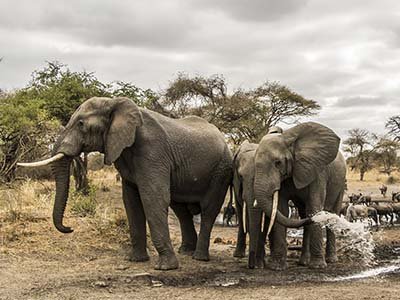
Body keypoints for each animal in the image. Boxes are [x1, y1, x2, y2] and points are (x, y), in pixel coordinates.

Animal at [18, 97, 233, 270]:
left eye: (80, 124)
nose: (69, 228)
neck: (114, 103)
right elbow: (131, 202)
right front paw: (136, 260)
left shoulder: (153, 152)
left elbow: (153, 199)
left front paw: (165, 268)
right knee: (180, 210)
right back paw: (186, 252)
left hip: (221, 169)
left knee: (208, 209)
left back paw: (199, 257)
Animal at [255, 121, 346, 270]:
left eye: (278, 163)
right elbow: (282, 210)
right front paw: (277, 267)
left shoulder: (318, 172)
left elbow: (314, 207)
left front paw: (318, 267)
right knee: (305, 214)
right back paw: (304, 261)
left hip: (341, 182)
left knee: (332, 212)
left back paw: (331, 260)